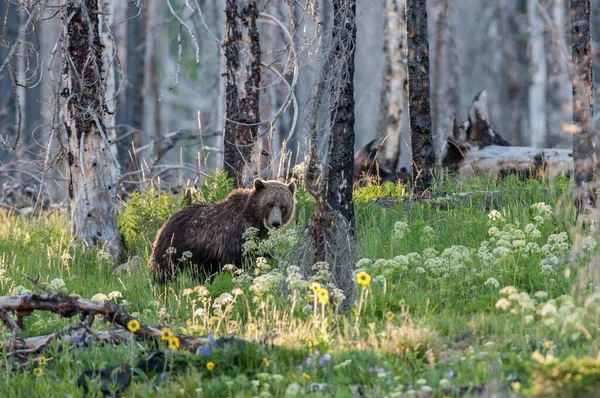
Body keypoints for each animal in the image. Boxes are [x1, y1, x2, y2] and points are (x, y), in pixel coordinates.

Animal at [150, 179, 296, 282]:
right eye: (269, 204)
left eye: (283, 206)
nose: (275, 223)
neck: (254, 220)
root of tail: (165, 223)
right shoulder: (234, 235)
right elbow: (235, 262)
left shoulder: (261, 240)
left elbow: (264, 255)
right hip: (176, 245)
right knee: (164, 269)